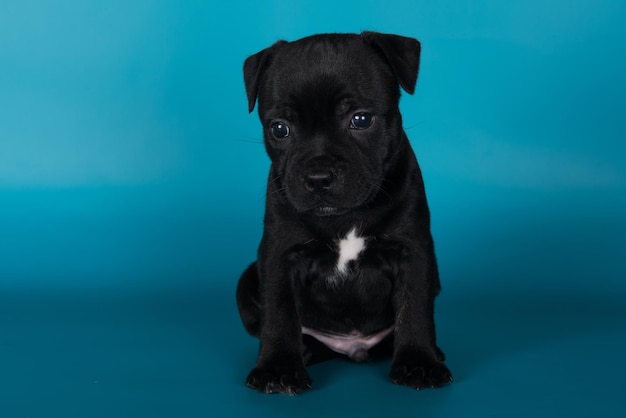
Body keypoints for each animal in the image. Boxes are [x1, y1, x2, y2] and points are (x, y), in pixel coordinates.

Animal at [236, 31, 450, 394]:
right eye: (279, 129)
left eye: (360, 120)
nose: (318, 176)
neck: (345, 216)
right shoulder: (279, 255)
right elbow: (278, 312)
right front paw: (278, 367)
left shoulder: (414, 252)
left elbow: (415, 309)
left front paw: (419, 362)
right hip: (247, 280)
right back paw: (306, 350)